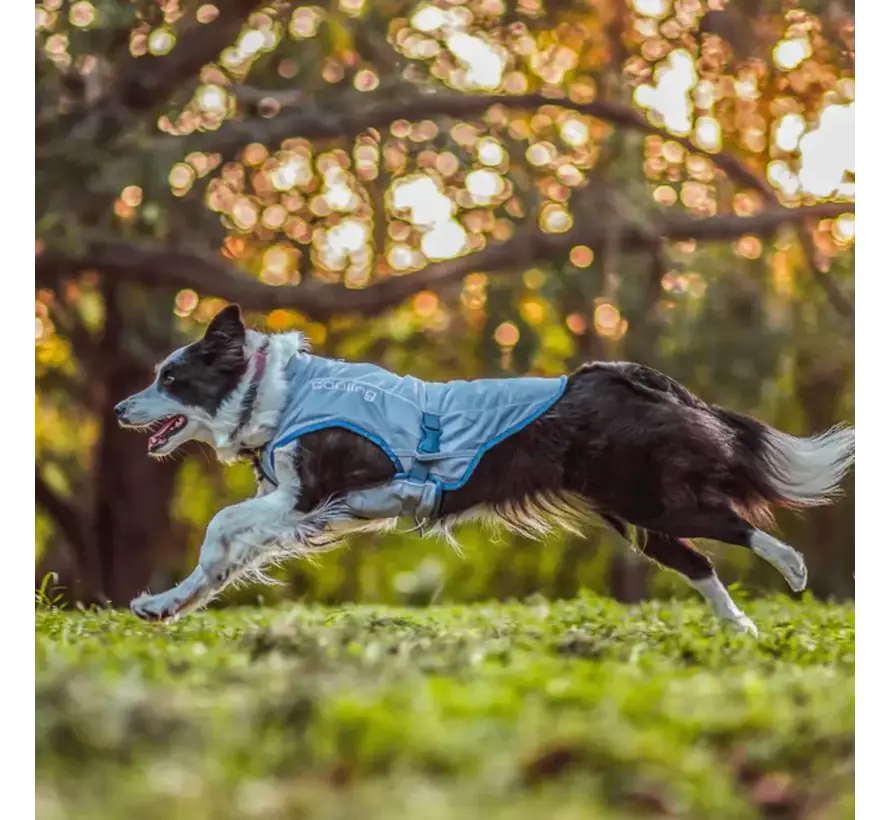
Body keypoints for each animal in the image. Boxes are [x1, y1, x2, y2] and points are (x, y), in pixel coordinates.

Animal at [116, 304, 852, 632]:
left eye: (171, 378)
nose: (122, 408)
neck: (276, 390)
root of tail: (620, 373)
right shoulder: (301, 510)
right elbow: (221, 561)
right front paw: (163, 604)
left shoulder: (307, 497)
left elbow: (219, 526)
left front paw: (169, 598)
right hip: (633, 511)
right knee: (698, 561)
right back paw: (738, 626)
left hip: (653, 499)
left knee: (737, 525)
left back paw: (792, 571)